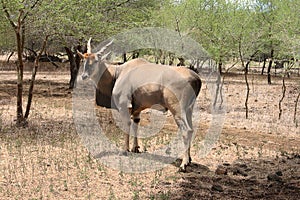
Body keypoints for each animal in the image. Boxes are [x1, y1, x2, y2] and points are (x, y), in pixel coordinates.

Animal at [78, 38, 203, 171]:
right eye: (83, 60)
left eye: (96, 61)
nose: (84, 76)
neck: (118, 72)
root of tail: (196, 78)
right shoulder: (137, 110)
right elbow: (135, 124)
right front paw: (135, 148)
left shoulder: (124, 106)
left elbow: (127, 124)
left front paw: (125, 150)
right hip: (188, 110)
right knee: (191, 129)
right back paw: (189, 159)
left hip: (177, 110)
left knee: (186, 130)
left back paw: (183, 164)